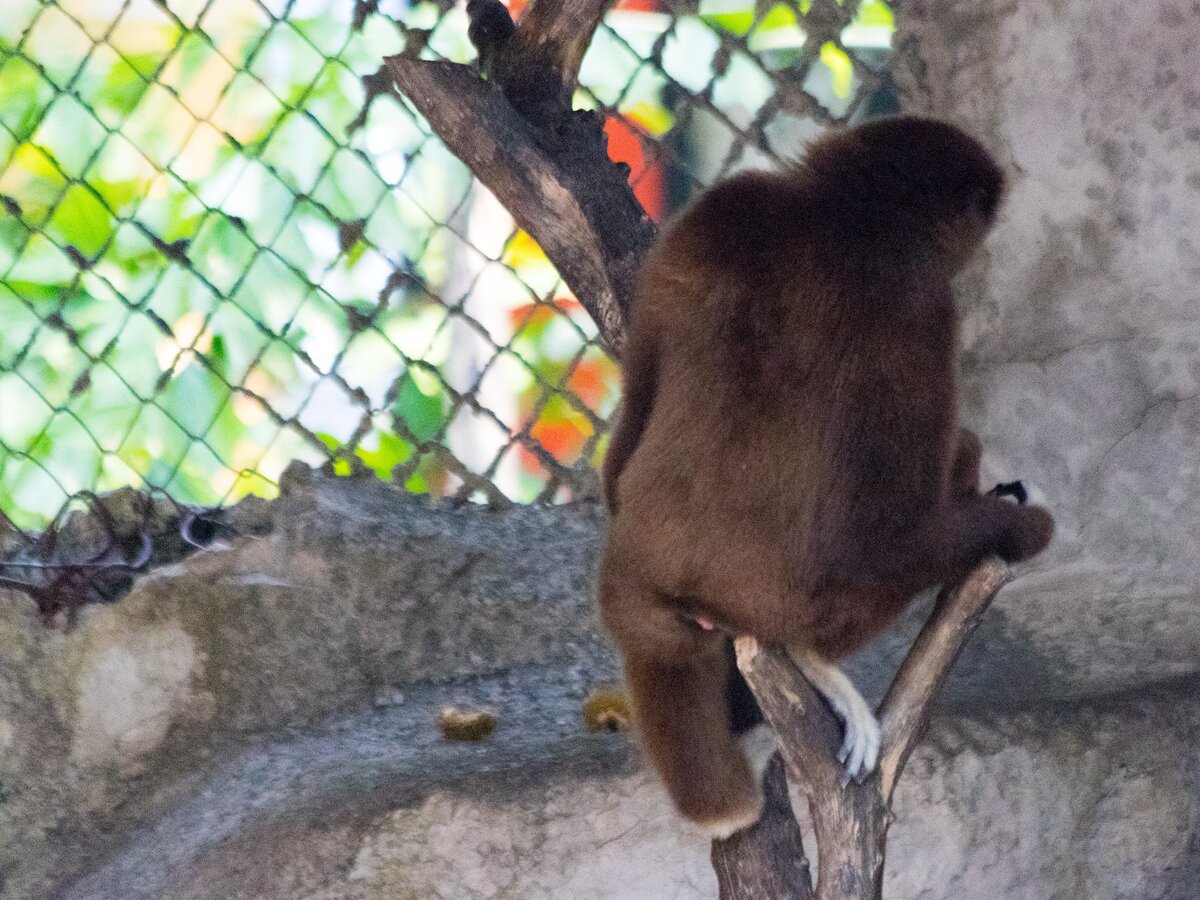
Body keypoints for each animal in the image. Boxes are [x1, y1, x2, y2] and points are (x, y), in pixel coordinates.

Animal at [597, 114, 1051, 840]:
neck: (847, 214)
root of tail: (646, 583)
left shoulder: (723, 209)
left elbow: (629, 420)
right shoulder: (923, 303)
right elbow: (885, 535)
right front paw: (1020, 524)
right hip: (795, 602)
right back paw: (816, 663)